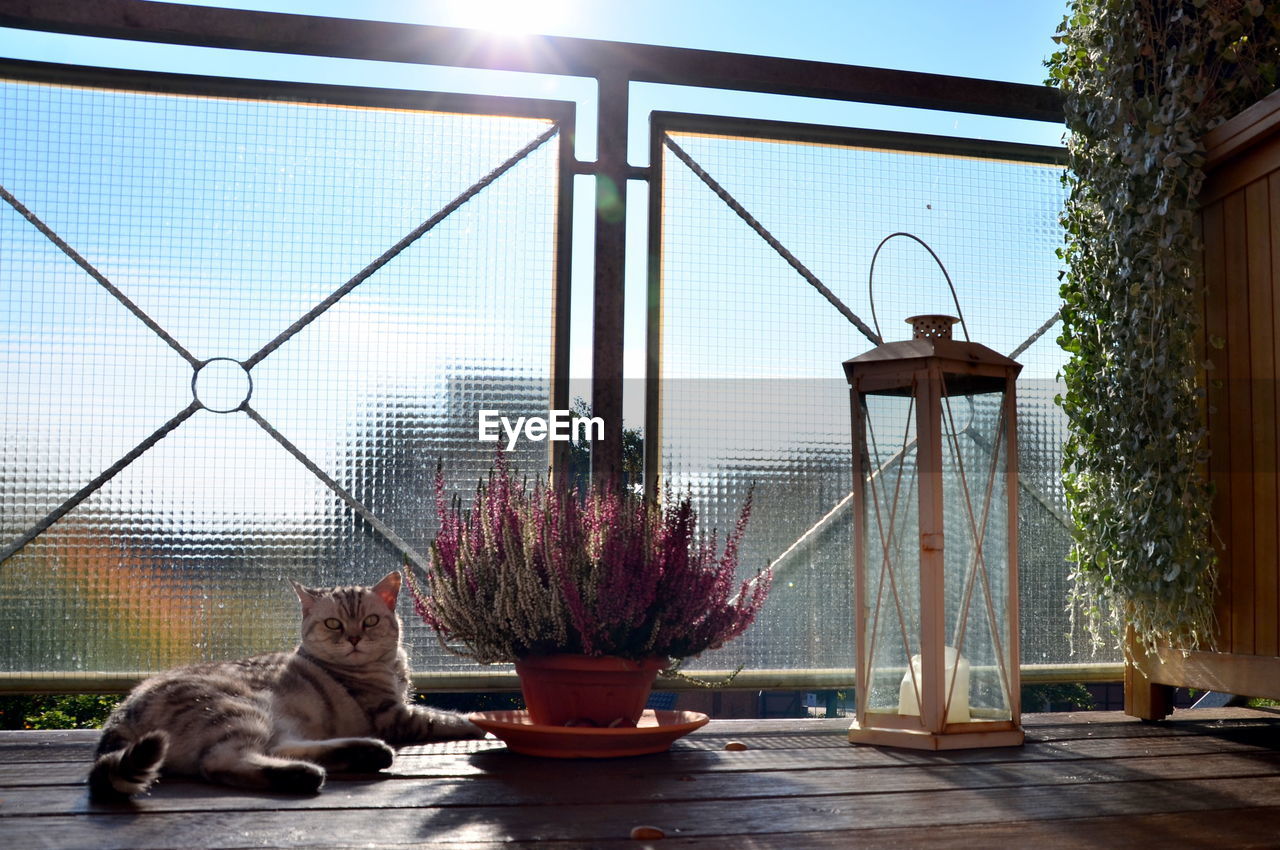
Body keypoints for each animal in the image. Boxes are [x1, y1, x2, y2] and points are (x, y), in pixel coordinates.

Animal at [88, 568, 481, 798]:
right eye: (334, 624)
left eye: (370, 621)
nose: (354, 638)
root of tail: (121, 712)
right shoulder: (394, 714)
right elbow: (441, 717)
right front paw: (475, 724)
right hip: (238, 712)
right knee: (222, 762)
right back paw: (306, 775)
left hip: (272, 723)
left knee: (279, 748)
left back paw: (366, 753)